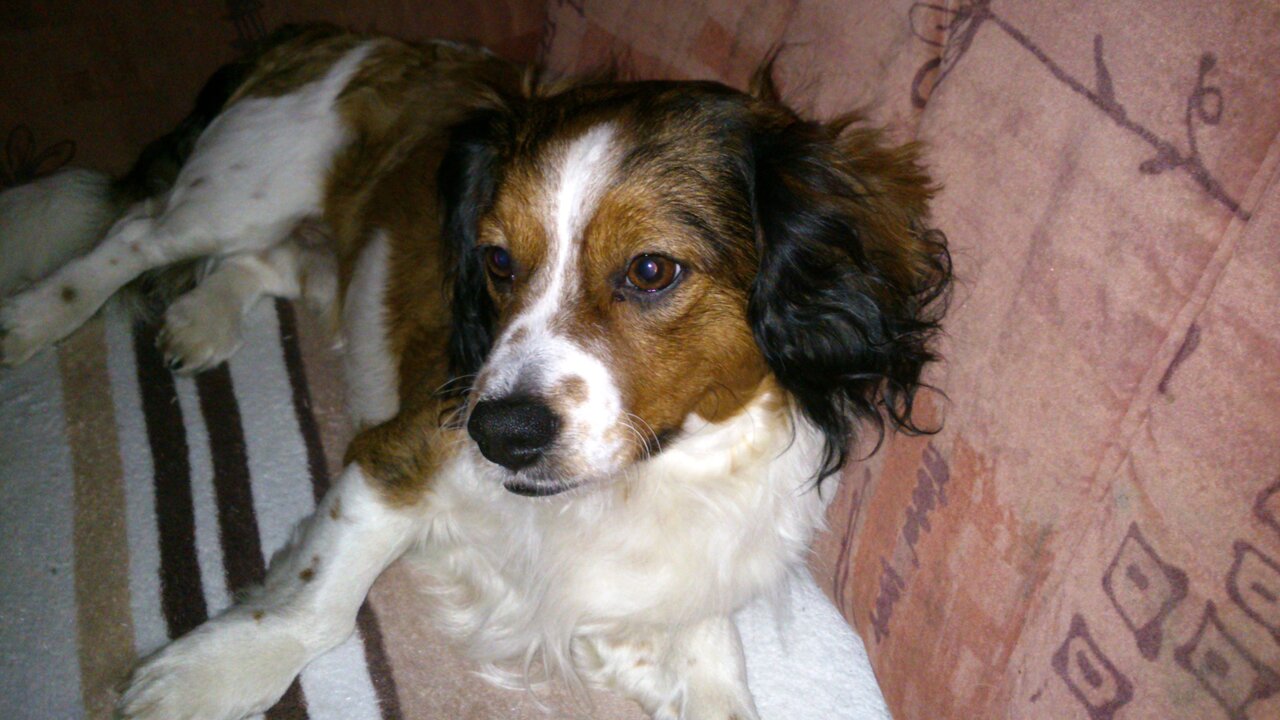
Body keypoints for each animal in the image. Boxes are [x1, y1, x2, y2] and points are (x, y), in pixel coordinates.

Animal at [0, 24, 949, 720]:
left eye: (652, 270)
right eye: (496, 260)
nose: (502, 435)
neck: (644, 481)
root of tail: (342, 31)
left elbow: (712, 669)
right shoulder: (404, 444)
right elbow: (316, 605)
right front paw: (213, 673)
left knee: (260, 263)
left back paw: (201, 317)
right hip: (243, 189)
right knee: (135, 237)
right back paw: (34, 317)